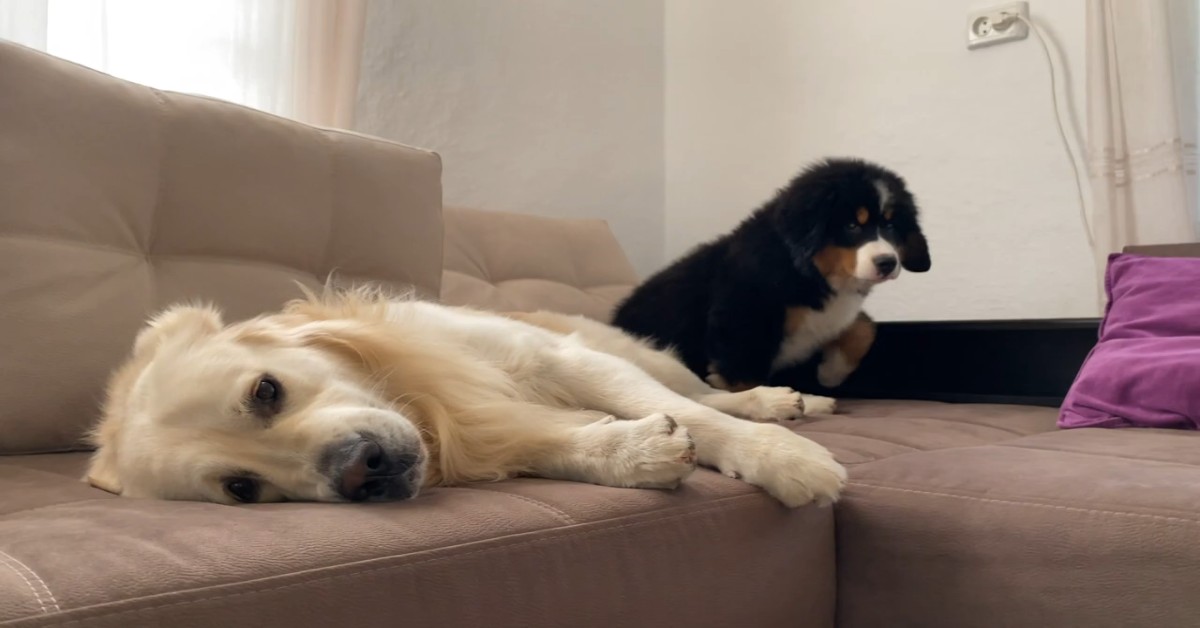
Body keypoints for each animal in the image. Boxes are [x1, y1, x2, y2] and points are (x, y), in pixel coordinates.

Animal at [84, 286, 849, 509]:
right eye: (243, 489)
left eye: (266, 391)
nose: (360, 472)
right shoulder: (493, 427)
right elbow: (560, 444)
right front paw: (632, 451)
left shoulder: (560, 358)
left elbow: (698, 416)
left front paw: (785, 459)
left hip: (626, 351)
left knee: (702, 391)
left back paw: (787, 403)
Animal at [614, 157, 931, 403]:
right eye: (852, 225)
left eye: (891, 226)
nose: (888, 262)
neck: (807, 270)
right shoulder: (743, 319)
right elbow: (745, 377)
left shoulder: (835, 315)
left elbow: (864, 327)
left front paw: (831, 371)